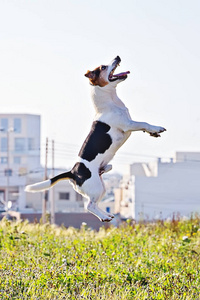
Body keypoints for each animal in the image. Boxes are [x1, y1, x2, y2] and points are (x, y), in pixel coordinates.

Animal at [24, 56, 166, 221]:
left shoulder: (130, 123)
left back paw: (107, 215)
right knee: (89, 206)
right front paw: (156, 128)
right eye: (103, 67)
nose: (117, 57)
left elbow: (144, 127)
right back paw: (104, 217)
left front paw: (153, 133)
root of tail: (72, 172)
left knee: (95, 204)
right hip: (96, 187)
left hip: (101, 186)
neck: (110, 102)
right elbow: (144, 123)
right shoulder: (128, 125)